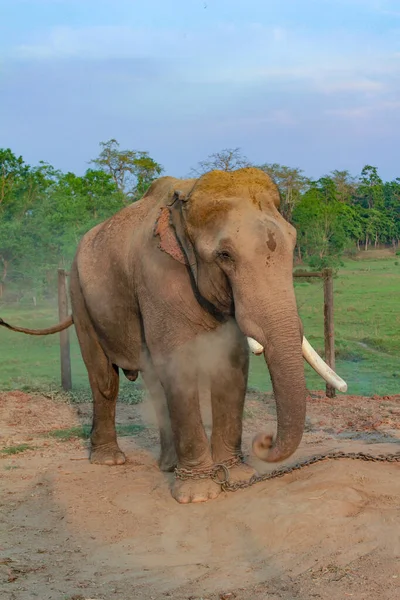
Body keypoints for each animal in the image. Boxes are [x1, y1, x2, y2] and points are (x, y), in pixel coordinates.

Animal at [0, 168, 346, 502]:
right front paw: (197, 495)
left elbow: (231, 367)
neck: (185, 206)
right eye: (224, 255)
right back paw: (109, 459)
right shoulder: (158, 275)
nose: (264, 441)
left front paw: (237, 476)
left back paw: (167, 465)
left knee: (154, 382)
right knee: (105, 379)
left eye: (292, 244)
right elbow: (179, 365)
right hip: (81, 296)